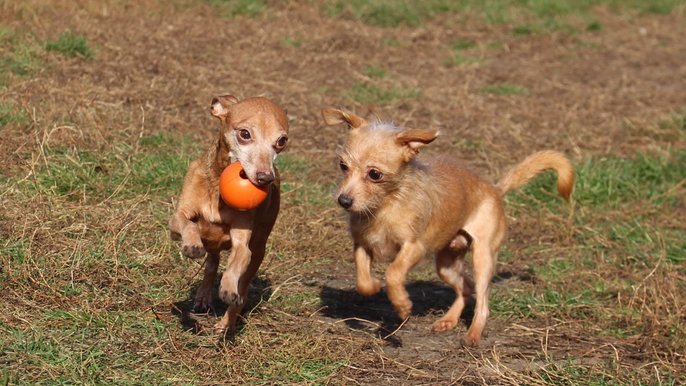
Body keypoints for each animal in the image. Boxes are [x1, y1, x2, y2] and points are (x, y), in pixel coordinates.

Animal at [173, 95, 292, 332]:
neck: (218, 191)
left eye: (281, 141)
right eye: (244, 134)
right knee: (211, 264)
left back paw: (227, 321)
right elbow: (187, 224)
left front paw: (228, 288)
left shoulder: (243, 245)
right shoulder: (177, 219)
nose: (265, 178)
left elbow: (235, 264)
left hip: (258, 251)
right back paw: (203, 296)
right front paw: (191, 245)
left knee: (242, 288)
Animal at [322, 107, 576, 346]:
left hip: (483, 257)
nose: (344, 200)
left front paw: (402, 305)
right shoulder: (362, 244)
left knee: (482, 300)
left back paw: (473, 334)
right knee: (466, 287)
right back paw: (449, 320)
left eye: (375, 174)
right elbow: (362, 280)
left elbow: (393, 272)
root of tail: (495, 190)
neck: (384, 207)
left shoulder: (414, 247)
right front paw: (374, 286)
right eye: (343, 166)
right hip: (446, 263)